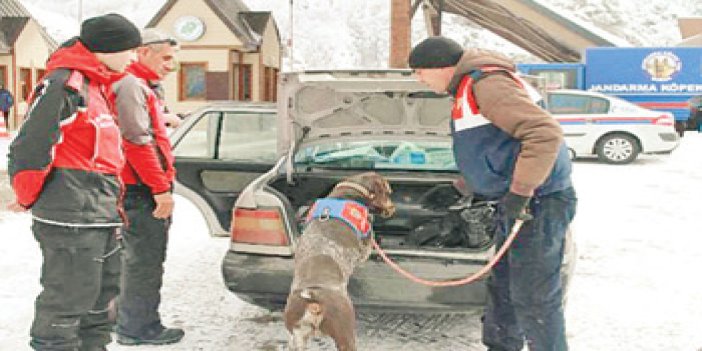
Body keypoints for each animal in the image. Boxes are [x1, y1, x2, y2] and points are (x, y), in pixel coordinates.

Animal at [286, 173, 396, 351]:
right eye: (388, 192)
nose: (393, 208)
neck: (350, 191)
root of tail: (313, 301)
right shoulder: (365, 244)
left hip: (296, 338)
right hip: (345, 334)